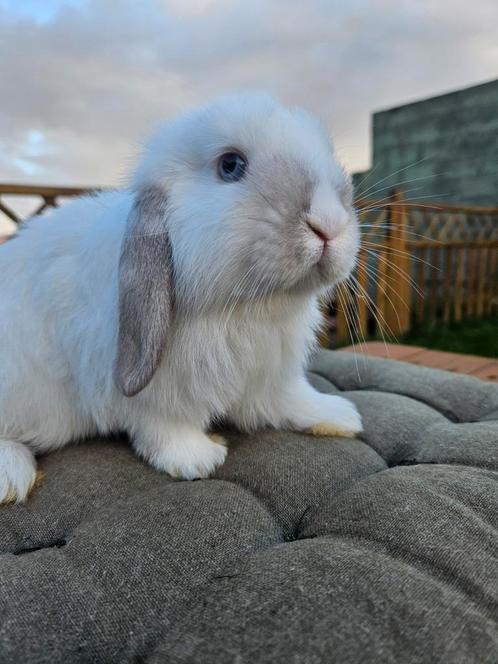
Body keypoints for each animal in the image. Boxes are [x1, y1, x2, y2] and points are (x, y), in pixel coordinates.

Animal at [0, 93, 362, 504]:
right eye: (231, 165)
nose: (329, 223)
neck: (247, 309)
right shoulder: (152, 393)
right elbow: (164, 428)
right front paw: (197, 458)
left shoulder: (272, 376)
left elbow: (289, 401)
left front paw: (338, 415)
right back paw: (11, 476)